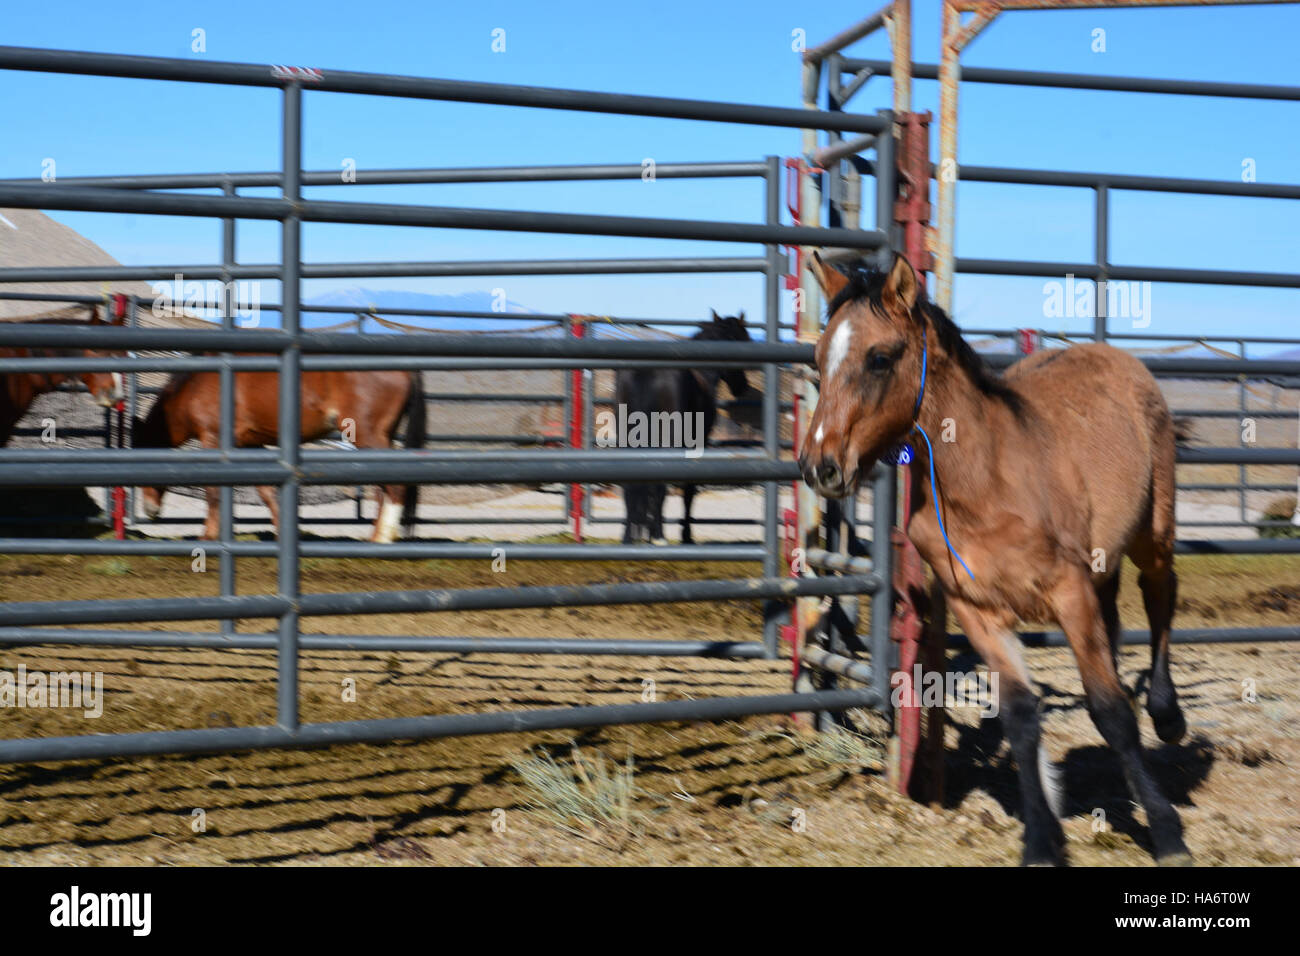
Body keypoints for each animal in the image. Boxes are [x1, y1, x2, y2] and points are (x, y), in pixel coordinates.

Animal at [133, 366, 426, 542]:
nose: (150, 511)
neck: (197, 385)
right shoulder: (249, 444)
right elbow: (266, 491)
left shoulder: (213, 440)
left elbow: (214, 493)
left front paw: (209, 536)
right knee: (383, 490)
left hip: (369, 437)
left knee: (394, 486)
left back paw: (382, 539)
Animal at [614, 311, 753, 544]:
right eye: (745, 339)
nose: (742, 387)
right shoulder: (698, 443)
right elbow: (689, 489)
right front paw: (686, 535)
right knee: (658, 485)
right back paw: (658, 536)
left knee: (631, 484)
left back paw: (630, 536)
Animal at [799, 252, 1190, 866]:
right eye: (817, 358)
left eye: (879, 358)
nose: (820, 466)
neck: (985, 483)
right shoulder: (978, 610)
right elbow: (1021, 717)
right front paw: (1041, 841)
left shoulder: (1069, 593)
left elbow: (1110, 713)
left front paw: (1168, 832)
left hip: (1154, 532)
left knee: (1160, 594)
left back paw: (1168, 714)